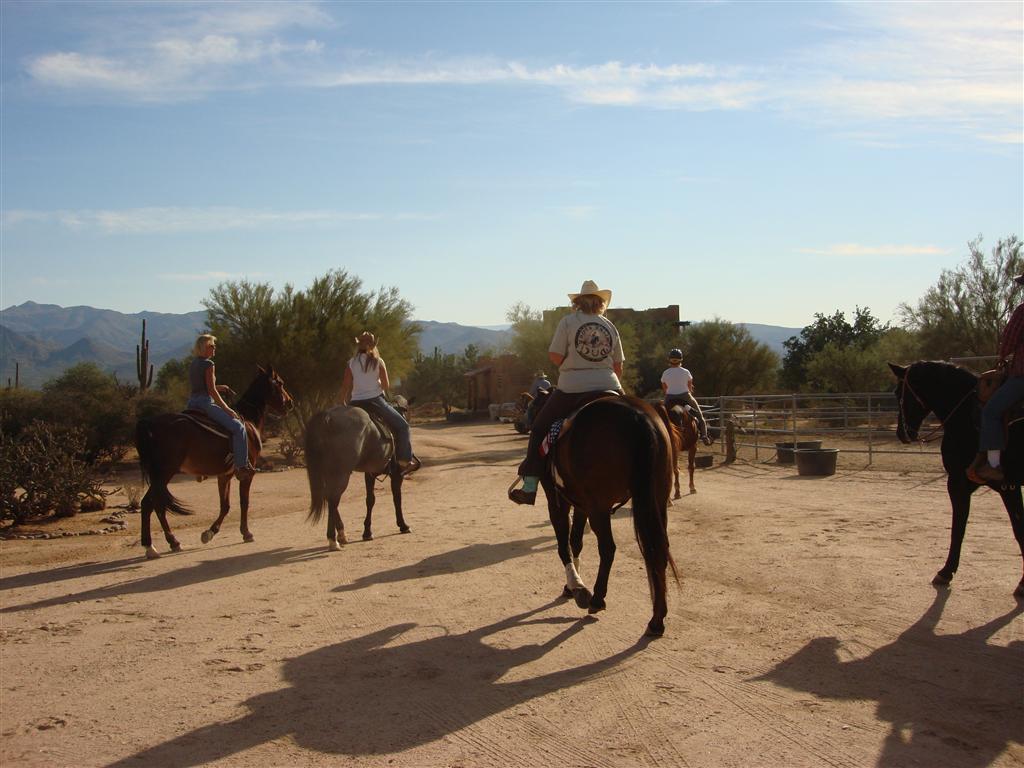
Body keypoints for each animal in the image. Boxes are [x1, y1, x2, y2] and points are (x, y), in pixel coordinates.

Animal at [134, 365, 294, 560]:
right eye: (280, 383)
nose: (290, 402)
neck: (248, 422)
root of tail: (149, 423)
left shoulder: (224, 475)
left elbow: (225, 506)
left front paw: (209, 533)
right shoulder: (247, 473)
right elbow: (244, 502)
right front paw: (246, 533)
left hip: (159, 476)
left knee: (156, 505)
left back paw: (173, 542)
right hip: (164, 473)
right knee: (149, 503)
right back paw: (151, 547)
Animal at [304, 396, 412, 551]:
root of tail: (327, 418)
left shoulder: (370, 473)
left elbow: (370, 500)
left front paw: (367, 532)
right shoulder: (397, 474)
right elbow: (397, 498)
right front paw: (403, 525)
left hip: (329, 471)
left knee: (330, 498)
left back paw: (341, 534)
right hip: (341, 472)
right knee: (333, 499)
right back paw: (333, 540)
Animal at [539, 395, 679, 637]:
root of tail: (638, 416)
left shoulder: (558, 500)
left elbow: (564, 545)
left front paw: (576, 586)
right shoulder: (581, 506)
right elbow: (576, 542)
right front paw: (573, 586)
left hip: (600, 508)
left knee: (608, 548)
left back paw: (597, 599)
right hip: (657, 502)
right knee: (659, 551)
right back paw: (656, 620)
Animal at [889, 361, 1024, 597]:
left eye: (898, 392)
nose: (902, 433)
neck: (966, 416)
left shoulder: (978, 484)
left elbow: (961, 528)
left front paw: (945, 571)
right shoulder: (977, 484)